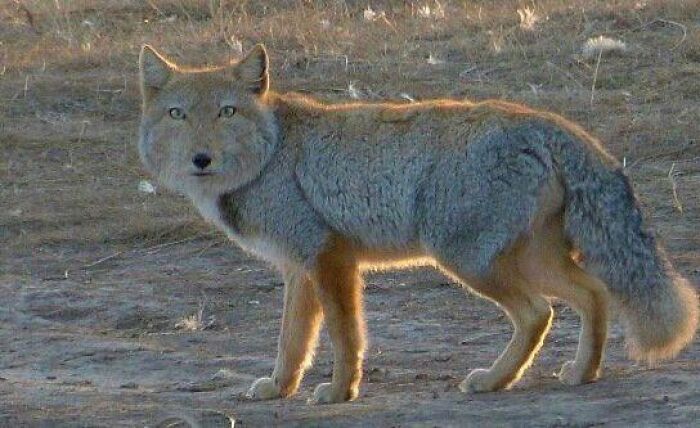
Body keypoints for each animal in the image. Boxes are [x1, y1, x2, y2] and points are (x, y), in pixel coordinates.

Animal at [137, 44, 698, 404]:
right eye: (177, 114)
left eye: (227, 112)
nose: (201, 158)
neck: (272, 153)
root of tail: (541, 120)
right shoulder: (299, 269)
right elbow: (292, 342)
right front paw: (279, 388)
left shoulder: (329, 259)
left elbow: (344, 336)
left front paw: (340, 392)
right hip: (529, 259)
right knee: (593, 294)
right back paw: (581, 373)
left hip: (468, 261)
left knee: (539, 313)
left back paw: (494, 382)